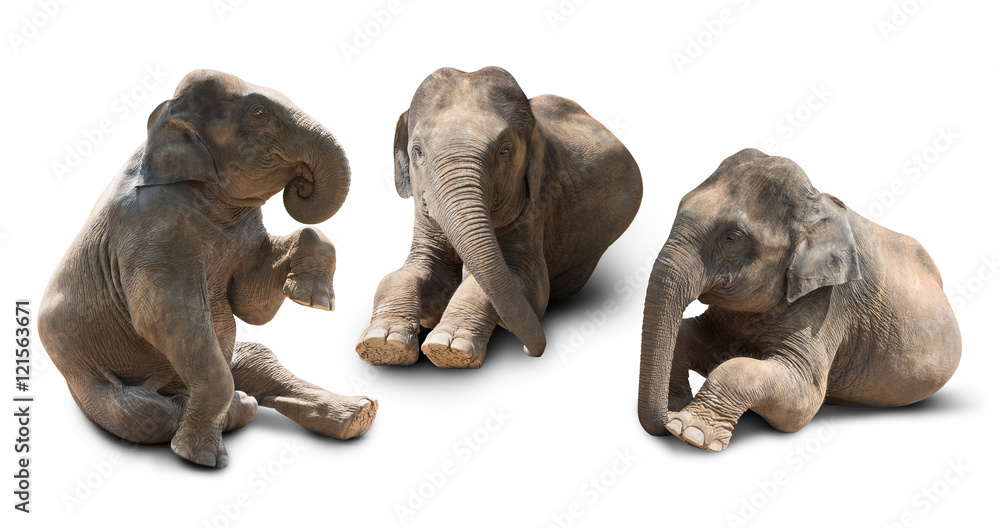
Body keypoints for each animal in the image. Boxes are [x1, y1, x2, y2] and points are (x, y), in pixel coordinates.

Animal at [38, 70, 376, 468]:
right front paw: (201, 457)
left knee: (259, 357)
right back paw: (239, 407)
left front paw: (313, 300)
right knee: (139, 412)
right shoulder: (151, 227)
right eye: (258, 112)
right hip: (86, 379)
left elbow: (251, 303)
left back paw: (356, 414)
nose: (302, 182)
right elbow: (163, 317)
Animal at [356, 66, 642, 368]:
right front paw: (383, 344)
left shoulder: (535, 205)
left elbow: (531, 285)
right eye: (418, 150)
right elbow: (410, 273)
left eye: (504, 150)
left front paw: (450, 349)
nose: (529, 350)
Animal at [638, 148, 961, 452]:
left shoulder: (828, 302)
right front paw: (677, 408)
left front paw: (688, 432)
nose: (666, 419)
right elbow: (688, 335)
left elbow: (802, 397)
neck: (815, 204)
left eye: (732, 238)